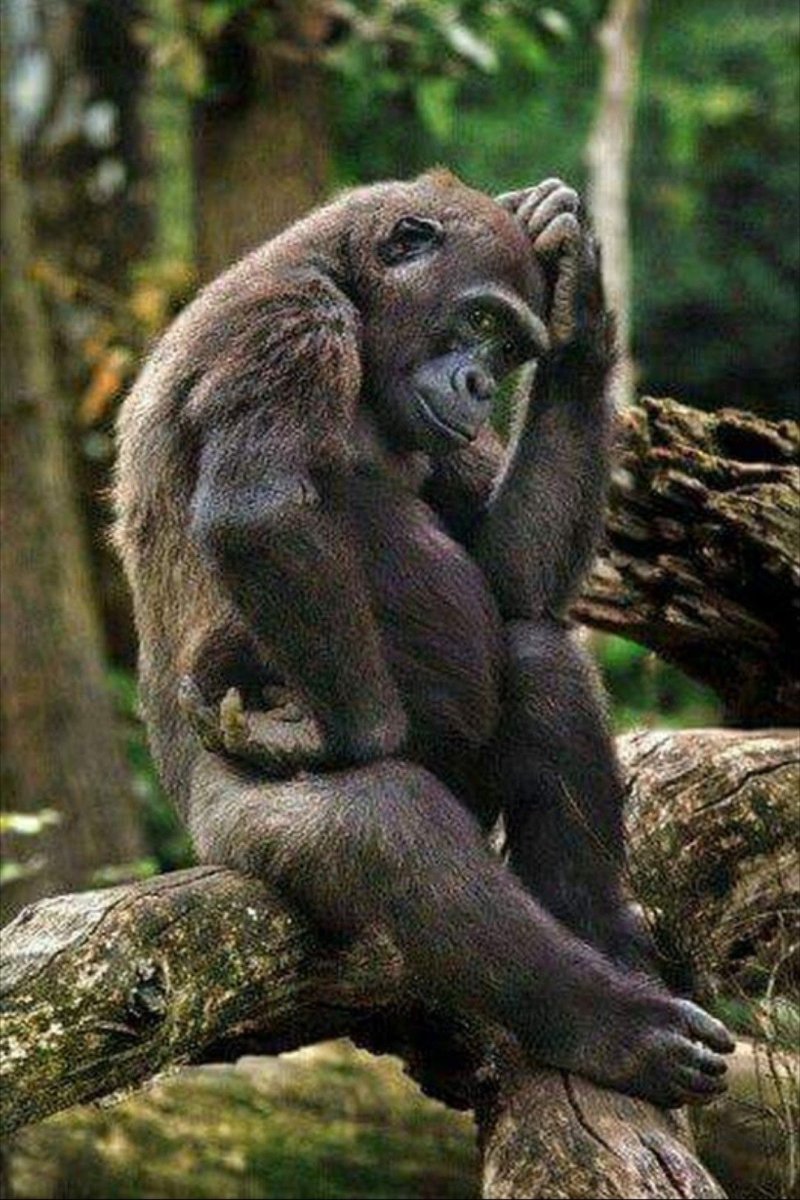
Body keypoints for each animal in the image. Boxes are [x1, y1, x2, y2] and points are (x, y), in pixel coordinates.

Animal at [114, 170, 733, 1108]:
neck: (344, 280)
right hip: (225, 824)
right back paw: (608, 1025)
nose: (479, 382)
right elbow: (259, 513)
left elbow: (506, 575)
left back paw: (599, 934)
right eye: (477, 321)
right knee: (388, 831)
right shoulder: (291, 322)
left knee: (540, 658)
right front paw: (342, 734)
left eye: (513, 350)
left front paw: (584, 310)